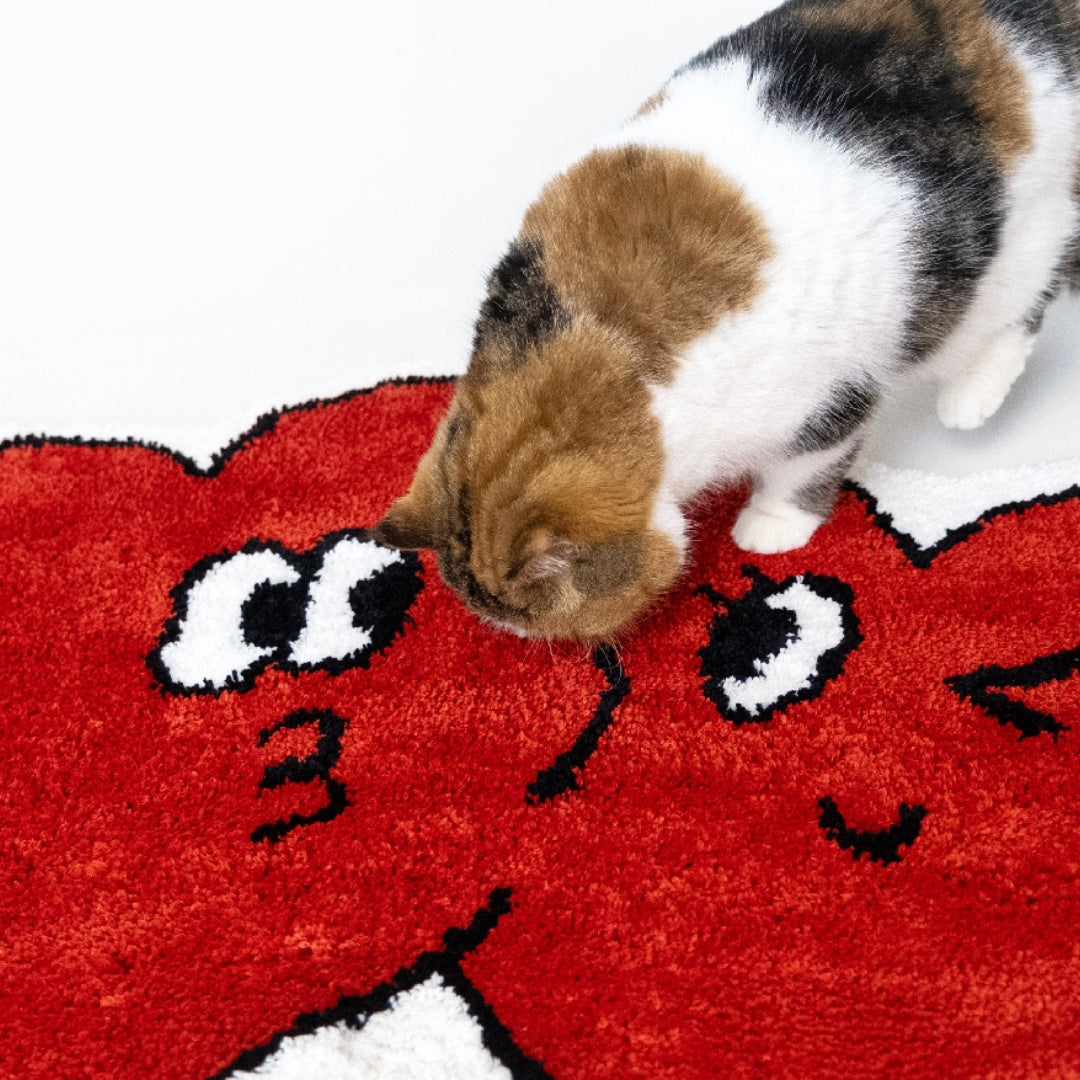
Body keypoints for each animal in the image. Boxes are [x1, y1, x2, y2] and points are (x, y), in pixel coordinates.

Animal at [373, 0, 1080, 639]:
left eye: (524, 617)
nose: (514, 636)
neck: (607, 346)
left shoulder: (826, 401)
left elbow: (802, 468)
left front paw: (772, 527)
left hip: (1014, 252)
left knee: (1020, 310)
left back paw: (970, 400)